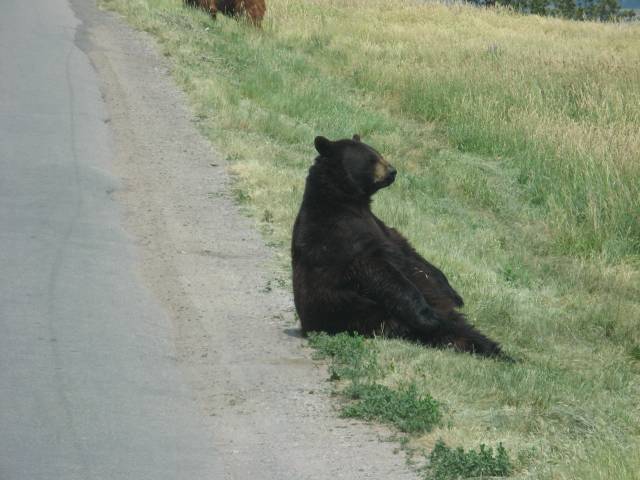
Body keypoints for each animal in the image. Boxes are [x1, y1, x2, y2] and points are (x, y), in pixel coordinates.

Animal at [292, 135, 512, 360]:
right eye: (372, 159)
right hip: (364, 313)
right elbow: (379, 270)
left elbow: (409, 250)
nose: (392, 171)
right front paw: (427, 316)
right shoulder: (341, 235)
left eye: (378, 153)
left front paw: (454, 293)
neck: (344, 200)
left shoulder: (377, 224)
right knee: (446, 330)